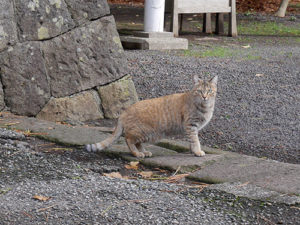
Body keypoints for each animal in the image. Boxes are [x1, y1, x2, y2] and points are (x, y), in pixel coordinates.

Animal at [86, 75, 218, 158]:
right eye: (200, 91)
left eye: (209, 91)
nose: (205, 97)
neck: (205, 107)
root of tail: (125, 111)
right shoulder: (191, 125)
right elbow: (195, 141)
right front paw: (197, 151)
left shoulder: (192, 128)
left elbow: (192, 141)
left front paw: (193, 151)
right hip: (144, 132)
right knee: (128, 140)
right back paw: (137, 153)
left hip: (147, 135)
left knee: (137, 143)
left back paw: (144, 152)